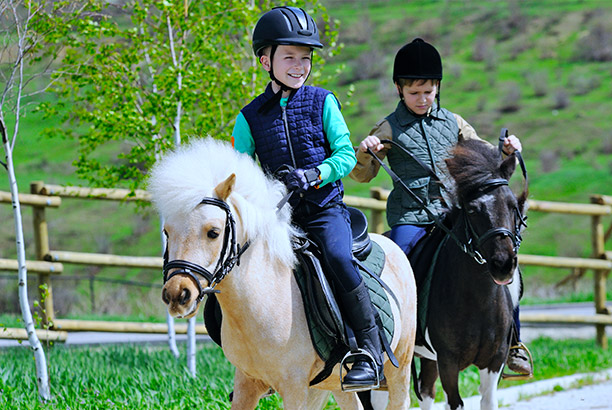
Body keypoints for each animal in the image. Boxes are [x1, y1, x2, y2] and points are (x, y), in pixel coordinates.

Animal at [149, 139, 418, 410]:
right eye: (167, 232)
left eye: (213, 232)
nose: (177, 295)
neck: (261, 299)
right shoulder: (246, 383)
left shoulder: (294, 386)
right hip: (334, 383)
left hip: (400, 367)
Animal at [408, 139, 528, 410]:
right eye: (473, 210)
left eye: (512, 205)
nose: (503, 264)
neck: (478, 300)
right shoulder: (448, 362)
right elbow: (455, 402)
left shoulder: (494, 361)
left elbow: (488, 401)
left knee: (426, 391)